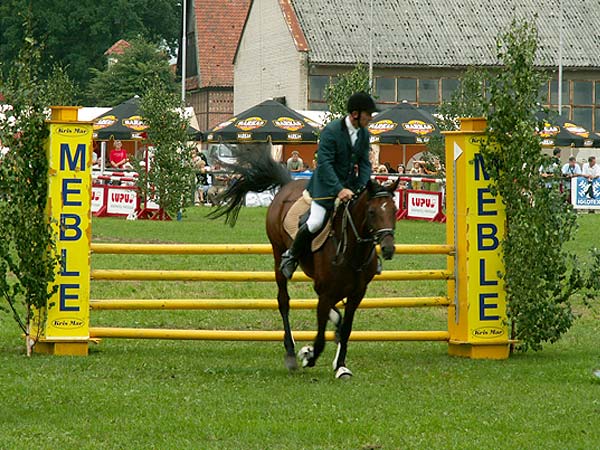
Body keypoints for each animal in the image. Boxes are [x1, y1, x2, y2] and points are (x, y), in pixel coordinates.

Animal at [211, 146, 398, 378]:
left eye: (394, 210)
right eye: (372, 212)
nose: (389, 249)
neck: (353, 250)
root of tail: (288, 184)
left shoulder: (357, 293)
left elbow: (346, 329)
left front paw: (341, 365)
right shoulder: (326, 293)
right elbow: (320, 337)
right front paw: (309, 356)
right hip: (278, 257)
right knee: (284, 301)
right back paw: (291, 353)